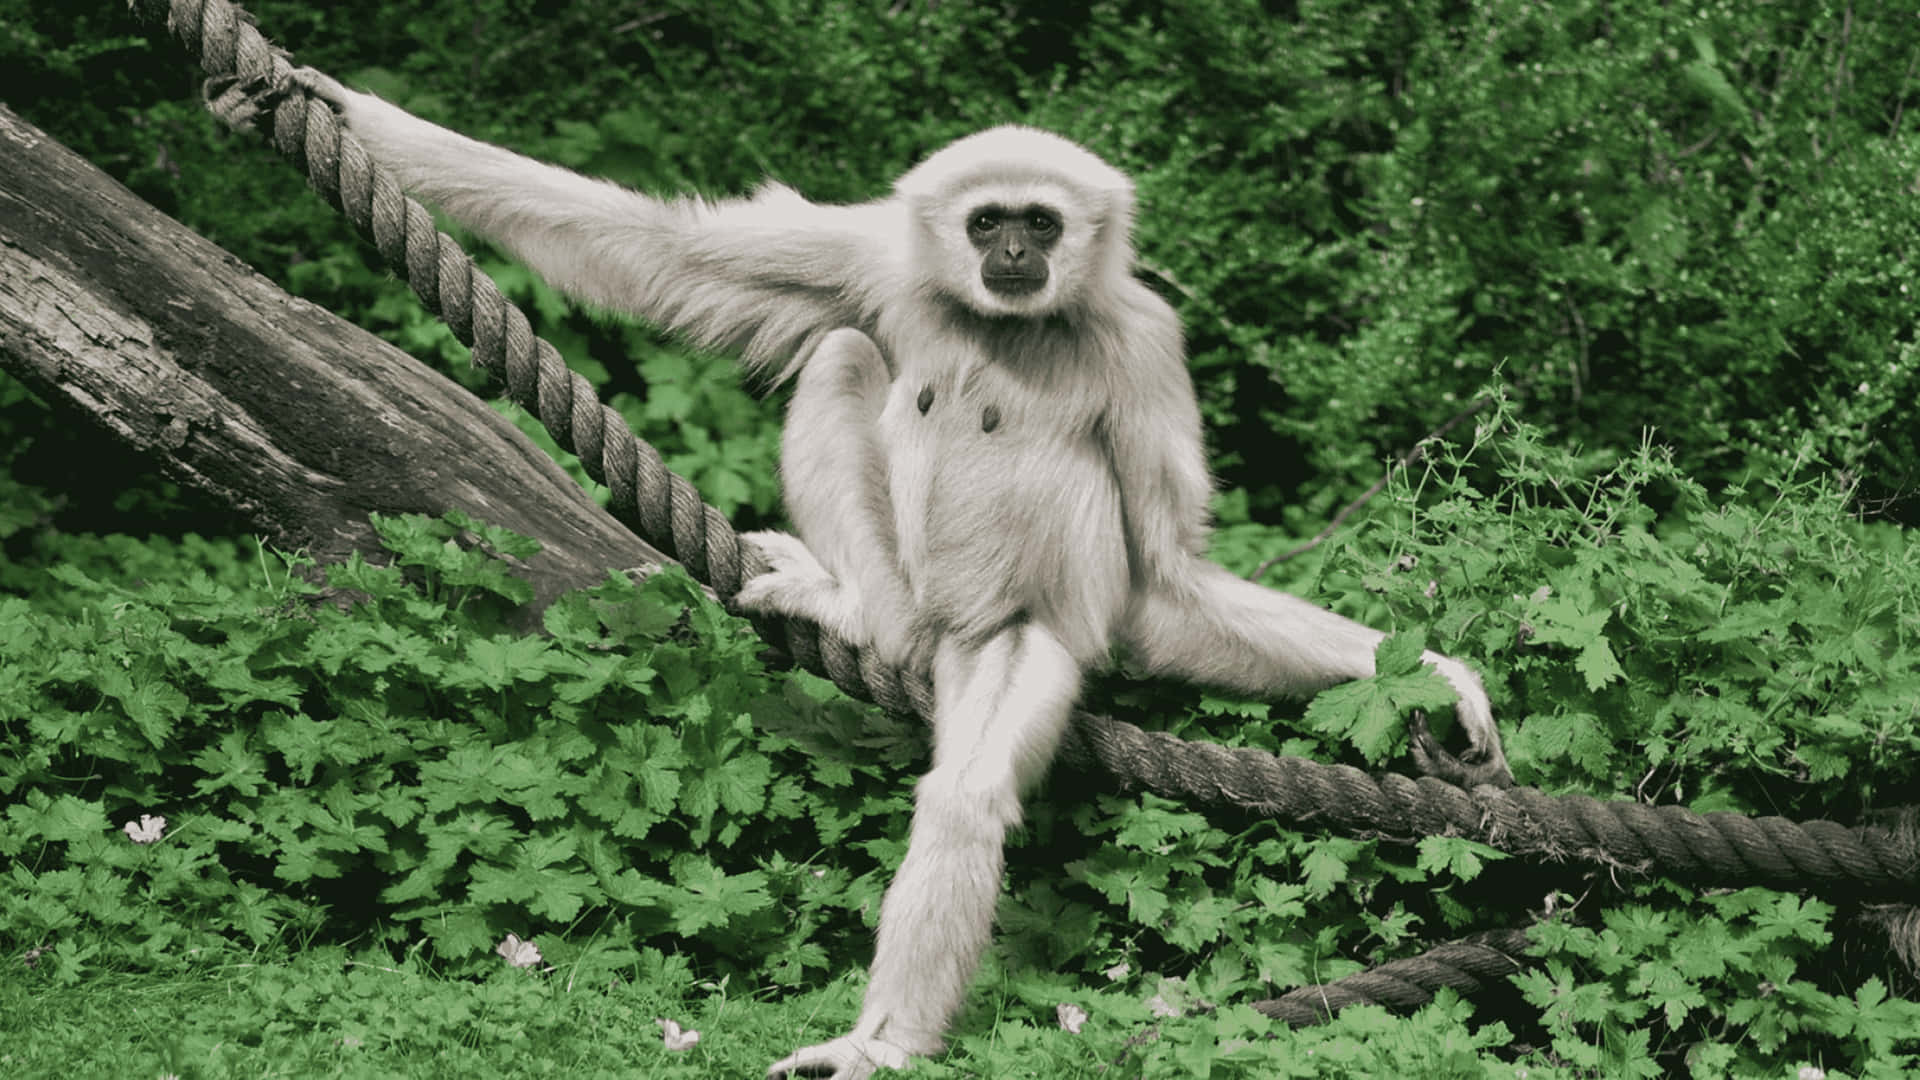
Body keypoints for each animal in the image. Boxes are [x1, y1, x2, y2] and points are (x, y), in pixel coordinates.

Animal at [290, 70, 1511, 1080]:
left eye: (1040, 221)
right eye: (987, 221)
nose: (1013, 254)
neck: (1010, 322)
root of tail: (941, 633)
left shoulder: (1146, 340)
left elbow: (1165, 575)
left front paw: (1432, 674)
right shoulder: (883, 261)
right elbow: (668, 257)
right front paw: (345, 111)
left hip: (1022, 637)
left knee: (970, 788)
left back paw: (882, 1040)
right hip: (912, 583)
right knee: (840, 354)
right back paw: (859, 613)